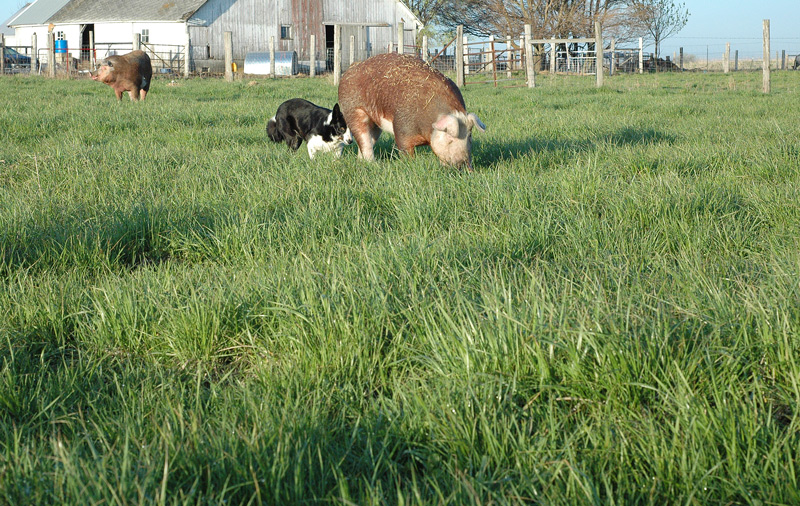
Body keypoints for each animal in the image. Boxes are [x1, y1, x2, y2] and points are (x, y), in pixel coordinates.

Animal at [338, 52, 486, 170]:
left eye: (470, 137)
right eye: (449, 138)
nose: (465, 167)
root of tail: (349, 70)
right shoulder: (401, 127)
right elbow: (405, 149)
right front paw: (409, 165)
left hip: (374, 123)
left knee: (368, 139)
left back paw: (361, 161)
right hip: (353, 110)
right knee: (364, 139)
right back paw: (372, 163)